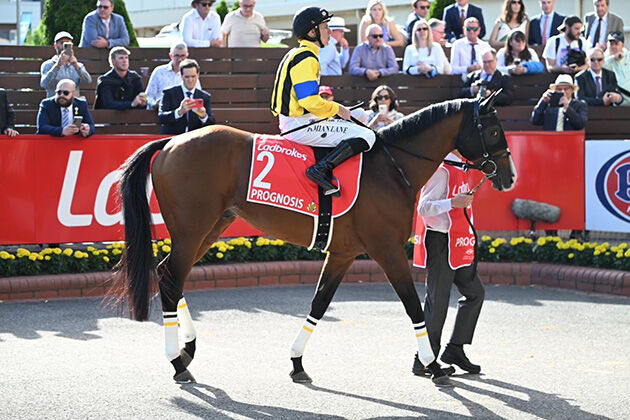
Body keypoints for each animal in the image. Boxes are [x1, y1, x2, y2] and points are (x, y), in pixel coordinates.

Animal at [109, 92, 516, 386]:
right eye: (494, 131)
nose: (509, 176)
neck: (391, 167)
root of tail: (171, 143)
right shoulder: (387, 251)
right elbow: (414, 307)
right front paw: (433, 367)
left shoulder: (343, 253)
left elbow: (319, 305)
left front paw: (297, 362)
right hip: (192, 229)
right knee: (170, 278)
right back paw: (177, 362)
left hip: (210, 228)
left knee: (170, 275)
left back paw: (188, 349)